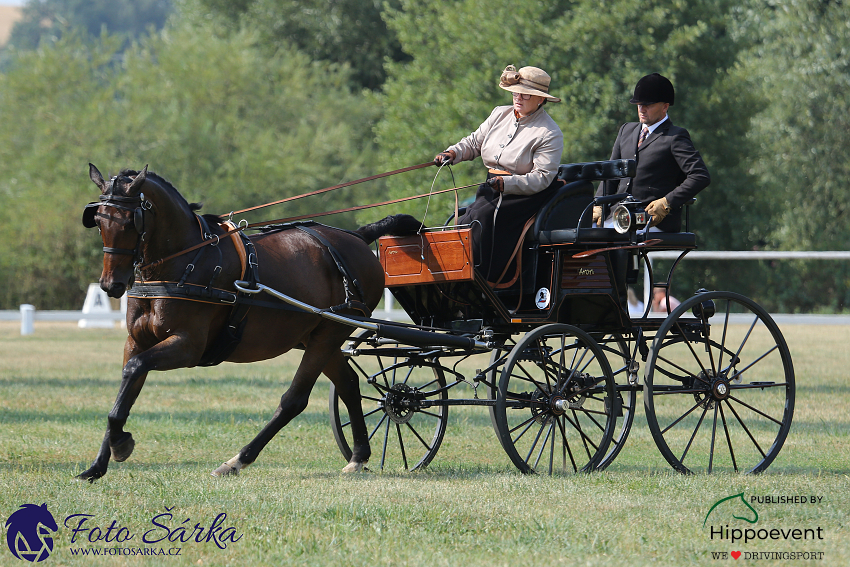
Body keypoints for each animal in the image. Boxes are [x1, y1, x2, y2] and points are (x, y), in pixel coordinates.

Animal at [81, 162, 420, 482]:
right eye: (99, 220)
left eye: (130, 221)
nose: (111, 285)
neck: (185, 261)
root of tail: (357, 238)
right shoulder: (136, 342)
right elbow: (125, 390)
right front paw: (99, 463)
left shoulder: (188, 346)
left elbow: (135, 370)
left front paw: (120, 444)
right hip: (320, 338)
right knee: (348, 384)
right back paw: (359, 456)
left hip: (329, 335)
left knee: (294, 400)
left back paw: (238, 460)